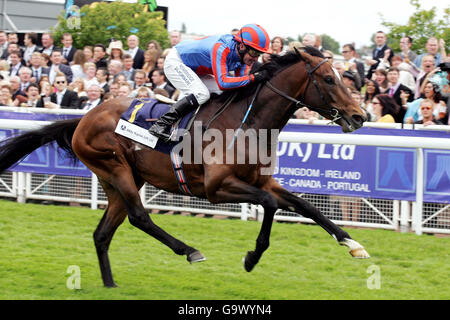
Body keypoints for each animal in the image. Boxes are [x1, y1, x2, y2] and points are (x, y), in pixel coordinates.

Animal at [0, 47, 370, 288]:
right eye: (329, 79)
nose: (360, 115)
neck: (248, 122)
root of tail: (85, 117)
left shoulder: (263, 181)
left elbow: (306, 205)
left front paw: (353, 244)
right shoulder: (217, 188)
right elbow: (269, 205)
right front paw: (251, 257)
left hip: (118, 179)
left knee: (103, 232)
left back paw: (111, 285)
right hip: (115, 168)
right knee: (139, 216)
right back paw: (189, 251)